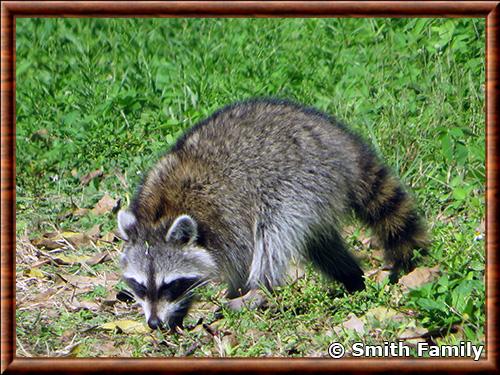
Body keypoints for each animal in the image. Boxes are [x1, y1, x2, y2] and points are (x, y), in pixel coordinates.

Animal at [116, 98, 426, 330]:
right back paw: (350, 276)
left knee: (273, 235)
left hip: (299, 181)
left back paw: (260, 291)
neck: (161, 212)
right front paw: (179, 310)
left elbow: (242, 257)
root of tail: (336, 139)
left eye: (170, 285)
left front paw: (237, 292)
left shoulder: (227, 217)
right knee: (321, 244)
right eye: (140, 286)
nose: (154, 323)